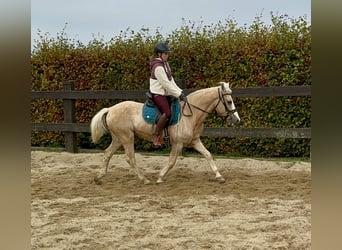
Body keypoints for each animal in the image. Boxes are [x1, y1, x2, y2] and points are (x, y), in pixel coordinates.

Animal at [91, 81, 240, 185]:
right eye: (229, 101)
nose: (237, 119)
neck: (190, 114)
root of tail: (110, 109)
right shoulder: (178, 144)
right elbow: (171, 161)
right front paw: (160, 177)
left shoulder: (194, 141)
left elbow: (208, 155)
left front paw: (219, 176)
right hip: (127, 137)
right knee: (130, 158)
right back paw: (144, 179)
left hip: (118, 138)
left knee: (107, 154)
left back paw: (99, 177)